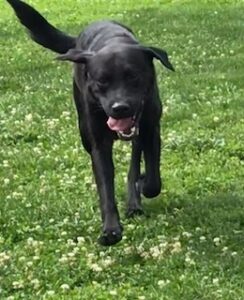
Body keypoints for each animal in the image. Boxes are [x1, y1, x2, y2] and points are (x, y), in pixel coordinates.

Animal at [7, 0, 173, 246]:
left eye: (133, 76)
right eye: (102, 81)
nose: (120, 108)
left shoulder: (151, 129)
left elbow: (153, 181)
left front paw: (142, 184)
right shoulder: (98, 144)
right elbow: (105, 188)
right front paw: (111, 230)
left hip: (138, 134)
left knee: (134, 164)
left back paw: (134, 200)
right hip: (84, 131)